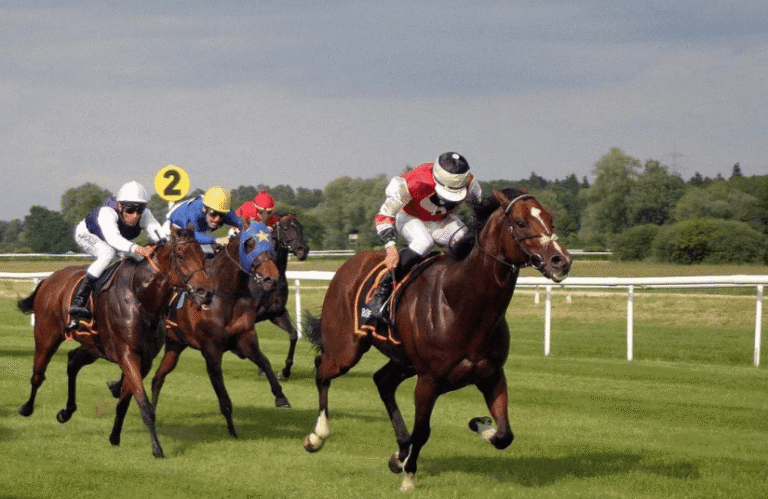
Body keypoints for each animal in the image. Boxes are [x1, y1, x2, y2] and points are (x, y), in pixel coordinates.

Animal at [16, 227, 214, 458]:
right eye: (181, 256)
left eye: (204, 256)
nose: (206, 292)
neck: (141, 296)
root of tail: (49, 279)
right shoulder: (127, 354)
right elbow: (145, 404)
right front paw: (157, 448)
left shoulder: (144, 360)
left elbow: (125, 401)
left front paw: (114, 436)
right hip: (47, 336)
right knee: (38, 374)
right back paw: (26, 408)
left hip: (93, 345)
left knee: (73, 361)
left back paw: (66, 411)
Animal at [115, 223, 293, 438]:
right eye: (249, 244)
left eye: (273, 242)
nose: (271, 278)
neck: (225, 296)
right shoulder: (210, 348)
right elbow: (221, 390)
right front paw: (232, 431)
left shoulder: (244, 338)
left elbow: (265, 362)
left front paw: (281, 396)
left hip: (174, 346)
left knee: (157, 378)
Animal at [257, 213, 309, 380]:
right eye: (285, 228)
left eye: (301, 227)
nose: (303, 249)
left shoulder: (276, 312)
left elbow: (293, 335)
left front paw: (285, 371)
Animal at [302, 188, 572, 491]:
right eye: (521, 222)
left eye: (550, 218)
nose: (560, 260)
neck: (461, 303)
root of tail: (348, 263)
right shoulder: (428, 381)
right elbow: (423, 431)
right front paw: (409, 477)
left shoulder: (492, 375)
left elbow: (504, 434)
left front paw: (479, 425)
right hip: (345, 350)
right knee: (322, 370)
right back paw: (318, 435)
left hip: (403, 361)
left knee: (382, 381)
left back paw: (400, 452)